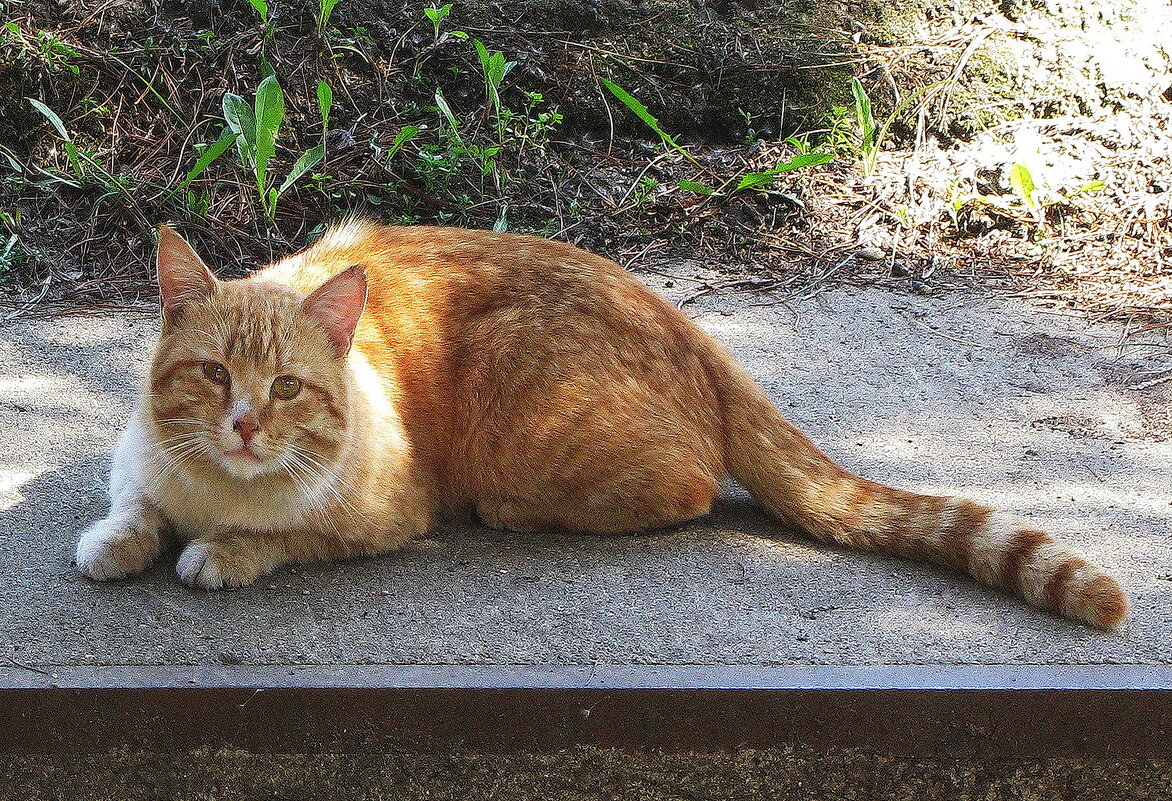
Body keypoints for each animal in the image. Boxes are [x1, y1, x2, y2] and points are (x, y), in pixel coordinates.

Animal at [70, 219, 1125, 628]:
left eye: (287, 388)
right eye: (214, 375)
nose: (246, 424)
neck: (221, 485)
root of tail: (689, 324)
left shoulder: (386, 516)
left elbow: (281, 536)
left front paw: (225, 549)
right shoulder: (134, 455)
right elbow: (134, 504)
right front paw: (122, 538)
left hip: (524, 421)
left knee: (688, 488)